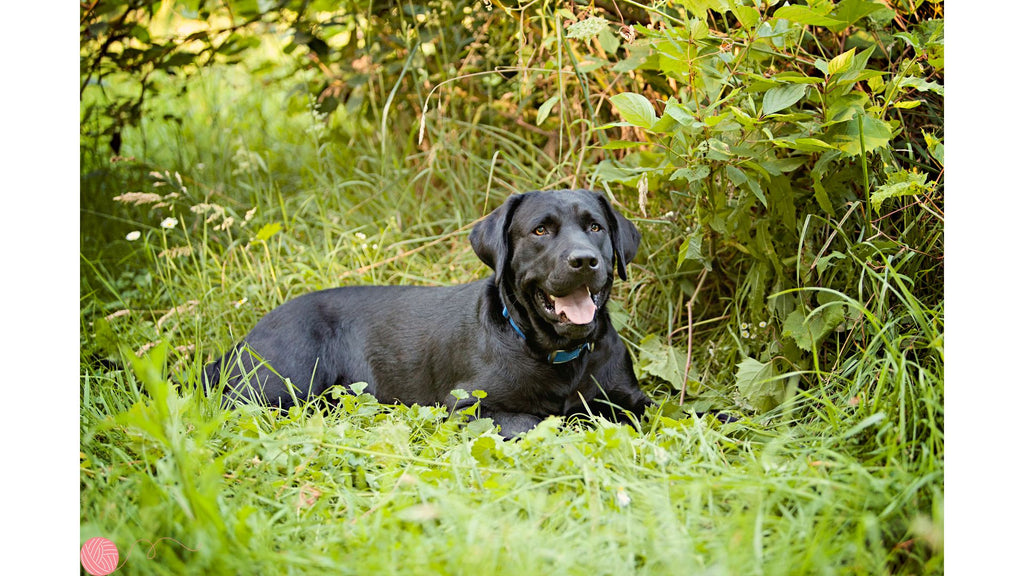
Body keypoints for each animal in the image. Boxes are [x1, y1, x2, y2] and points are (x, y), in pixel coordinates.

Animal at [203, 188, 651, 434]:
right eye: (540, 230)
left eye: (595, 227)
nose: (584, 260)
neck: (555, 354)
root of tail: (239, 343)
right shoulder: (468, 407)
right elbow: (539, 421)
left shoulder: (633, 399)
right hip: (278, 387)